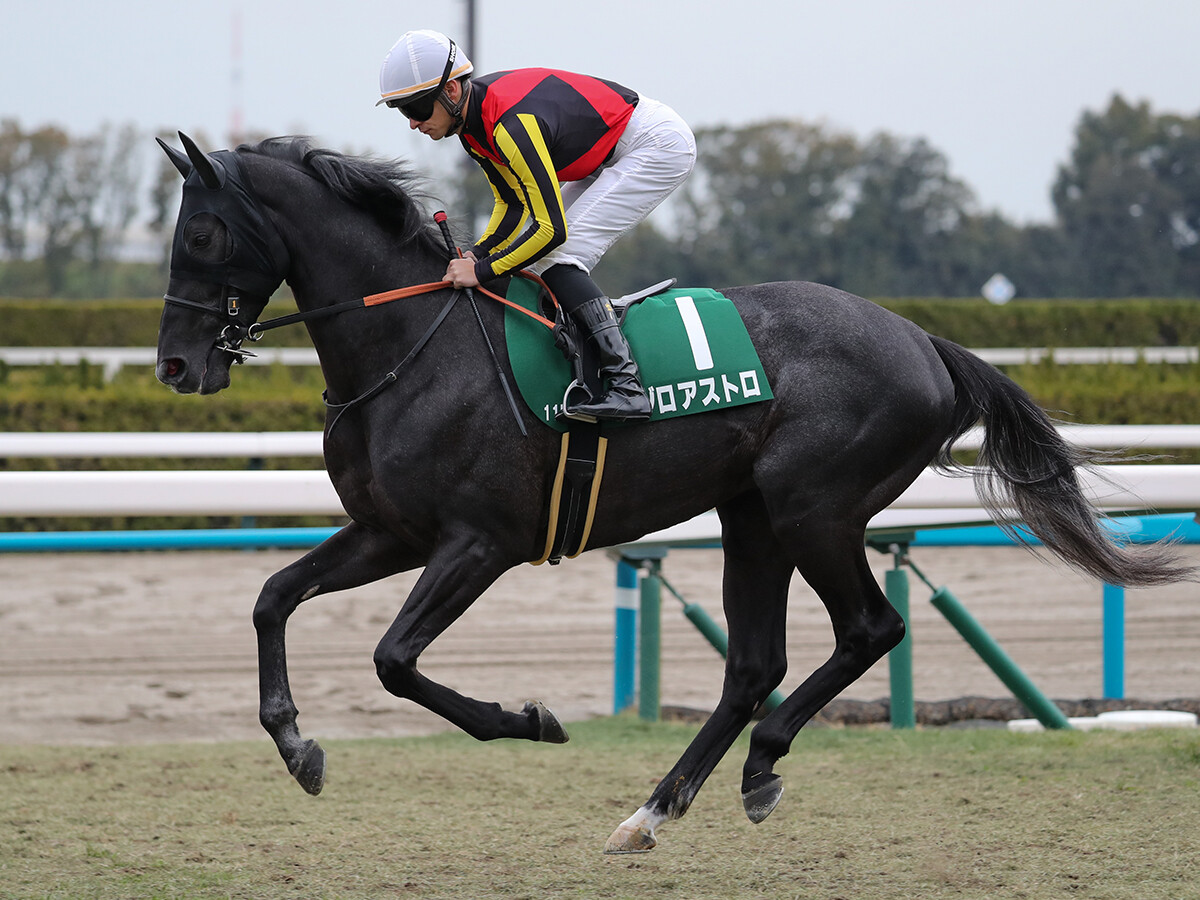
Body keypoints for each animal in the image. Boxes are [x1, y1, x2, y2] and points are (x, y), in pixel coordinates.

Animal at [155, 133, 1189, 854]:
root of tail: (925, 341)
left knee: (869, 629)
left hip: (814, 508)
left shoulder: (478, 543)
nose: (174, 365)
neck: (413, 346)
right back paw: (657, 809)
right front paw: (297, 747)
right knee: (753, 665)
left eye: (199, 232)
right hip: (752, 516)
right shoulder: (388, 530)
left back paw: (759, 764)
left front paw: (531, 720)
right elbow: (273, 597)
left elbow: (394, 661)